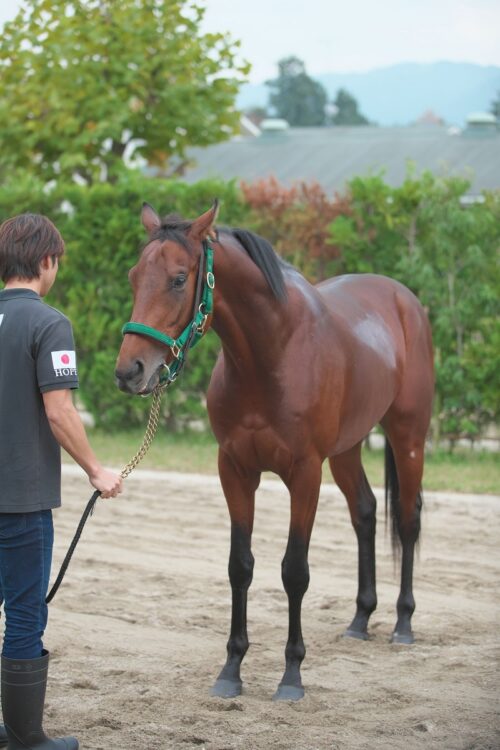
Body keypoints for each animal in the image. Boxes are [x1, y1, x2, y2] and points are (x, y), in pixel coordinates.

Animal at [116, 201, 434, 704]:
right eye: (134, 276)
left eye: (180, 279)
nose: (130, 371)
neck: (273, 354)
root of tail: (405, 300)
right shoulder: (235, 469)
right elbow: (240, 566)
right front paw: (231, 669)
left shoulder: (305, 474)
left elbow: (294, 571)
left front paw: (291, 674)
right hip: (347, 450)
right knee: (365, 512)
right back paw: (361, 619)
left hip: (409, 438)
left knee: (407, 519)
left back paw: (403, 623)